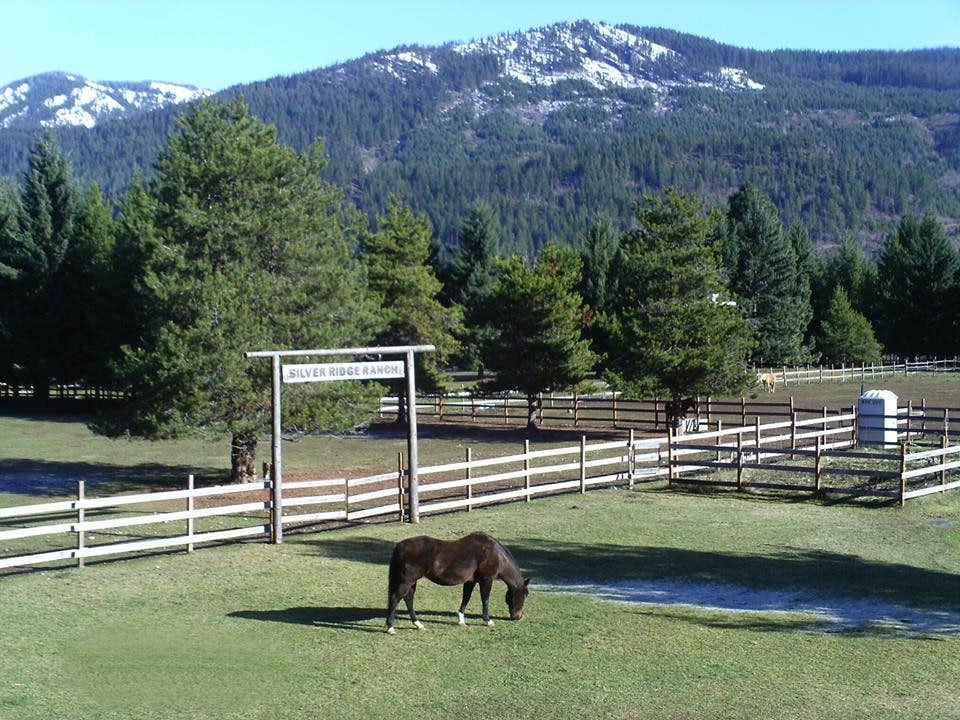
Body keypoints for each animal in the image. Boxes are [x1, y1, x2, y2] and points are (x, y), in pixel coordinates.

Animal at [386, 532, 530, 634]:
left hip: (411, 582)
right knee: (395, 598)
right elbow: (485, 600)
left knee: (408, 599)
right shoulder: (486, 580)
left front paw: (461, 621)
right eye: (525, 595)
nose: (518, 616)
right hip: (407, 581)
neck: (494, 553)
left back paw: (418, 624)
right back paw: (390, 628)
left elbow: (466, 598)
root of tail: (400, 546)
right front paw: (488, 621)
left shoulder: (471, 581)